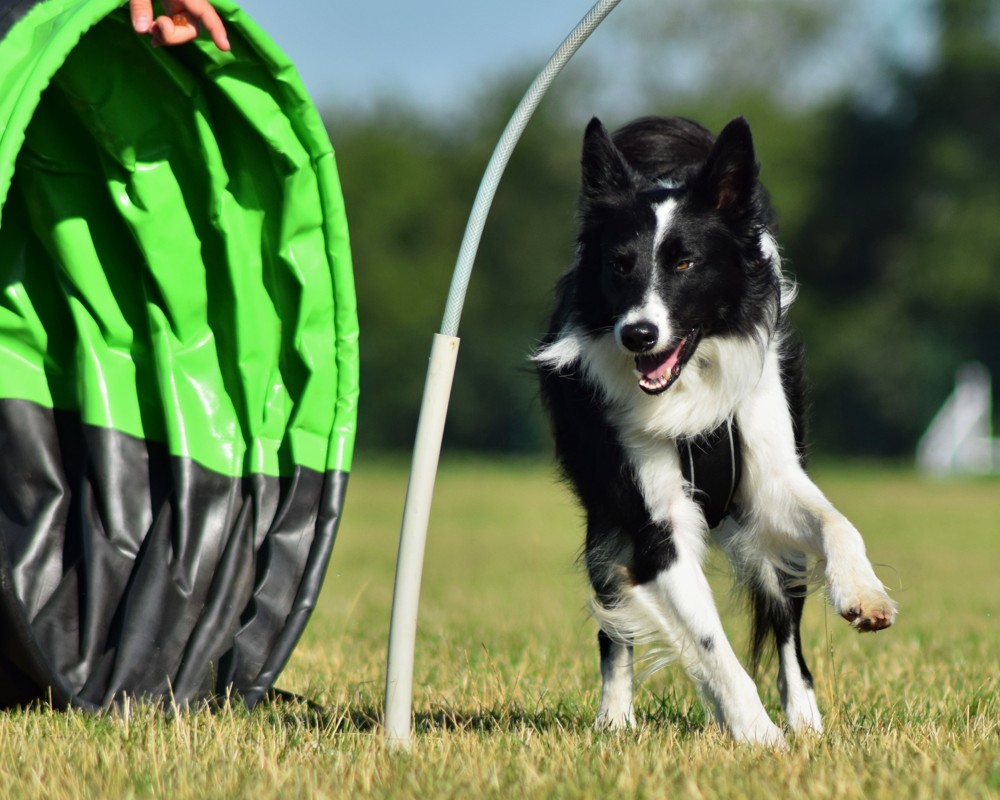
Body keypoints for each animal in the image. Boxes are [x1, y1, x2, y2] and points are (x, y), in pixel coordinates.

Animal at [536, 115, 896, 748]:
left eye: (685, 264)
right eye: (619, 265)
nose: (638, 334)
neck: (691, 391)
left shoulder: (772, 478)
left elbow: (838, 524)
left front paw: (862, 592)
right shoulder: (656, 525)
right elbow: (709, 643)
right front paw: (758, 736)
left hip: (773, 553)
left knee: (785, 629)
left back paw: (807, 722)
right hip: (605, 528)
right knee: (617, 625)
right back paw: (616, 720)